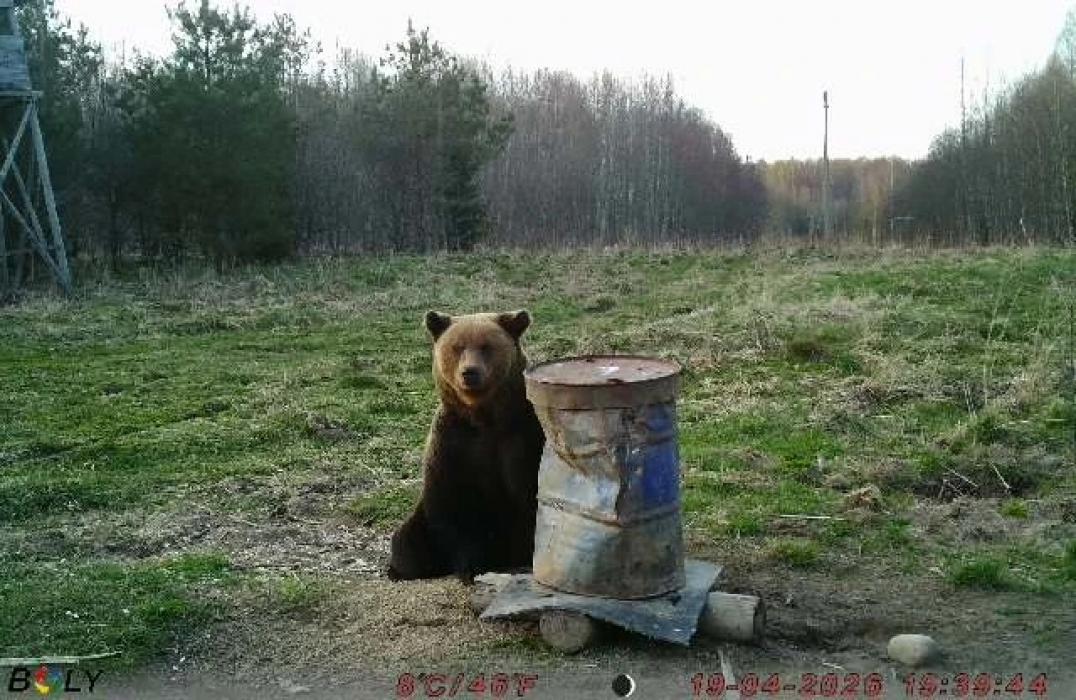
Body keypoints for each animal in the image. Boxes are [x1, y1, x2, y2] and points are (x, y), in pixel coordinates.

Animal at [386, 309, 545, 584]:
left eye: (486, 346)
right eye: (457, 347)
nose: (469, 372)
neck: (483, 417)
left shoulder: (522, 437)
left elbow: (531, 495)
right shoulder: (453, 444)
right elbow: (455, 508)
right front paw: (471, 568)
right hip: (419, 524)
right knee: (405, 544)